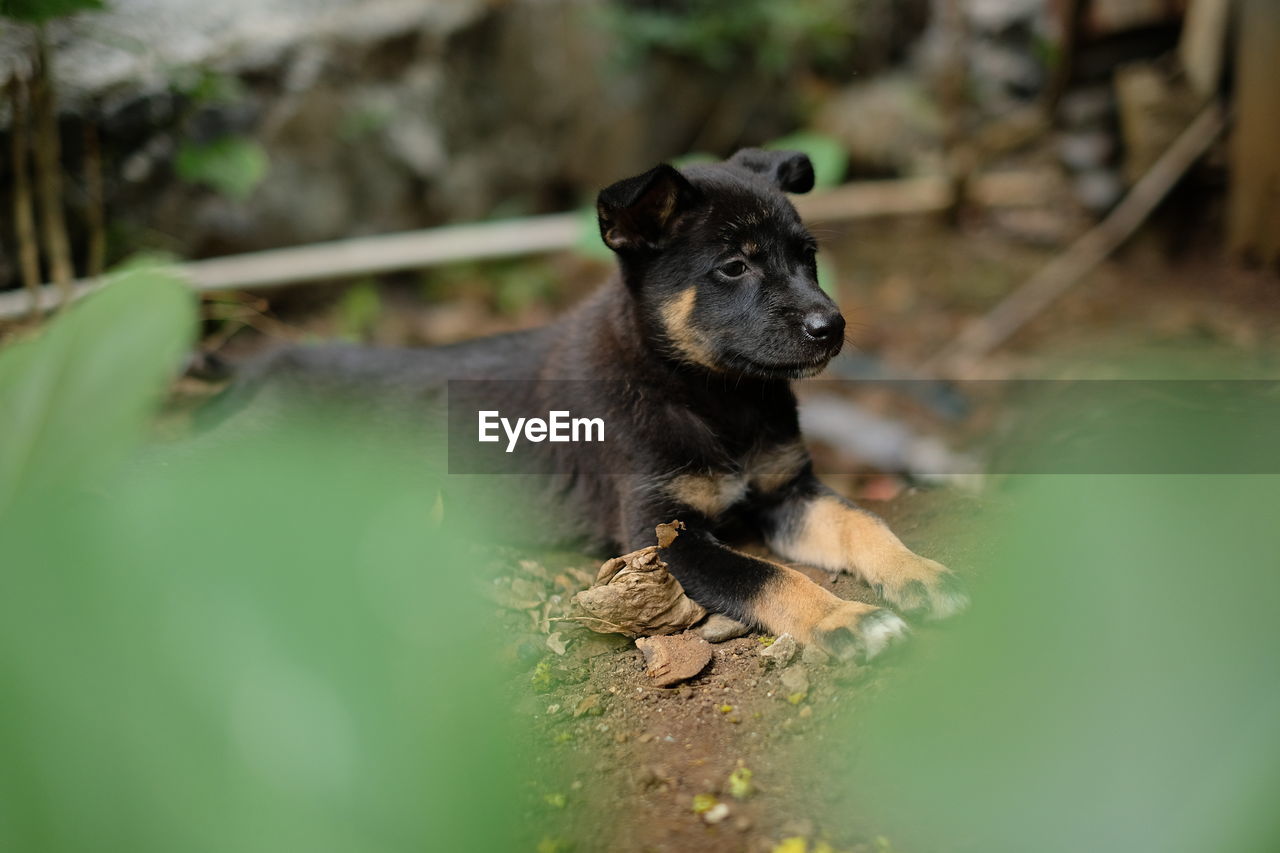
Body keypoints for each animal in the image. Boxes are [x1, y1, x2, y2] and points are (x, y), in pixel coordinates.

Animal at [215, 147, 962, 655]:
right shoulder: (665, 537)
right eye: (733, 267)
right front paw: (846, 619)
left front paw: (919, 573)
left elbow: (863, 524)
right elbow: (766, 576)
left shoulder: (787, 490)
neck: (709, 394)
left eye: (807, 257)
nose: (830, 327)